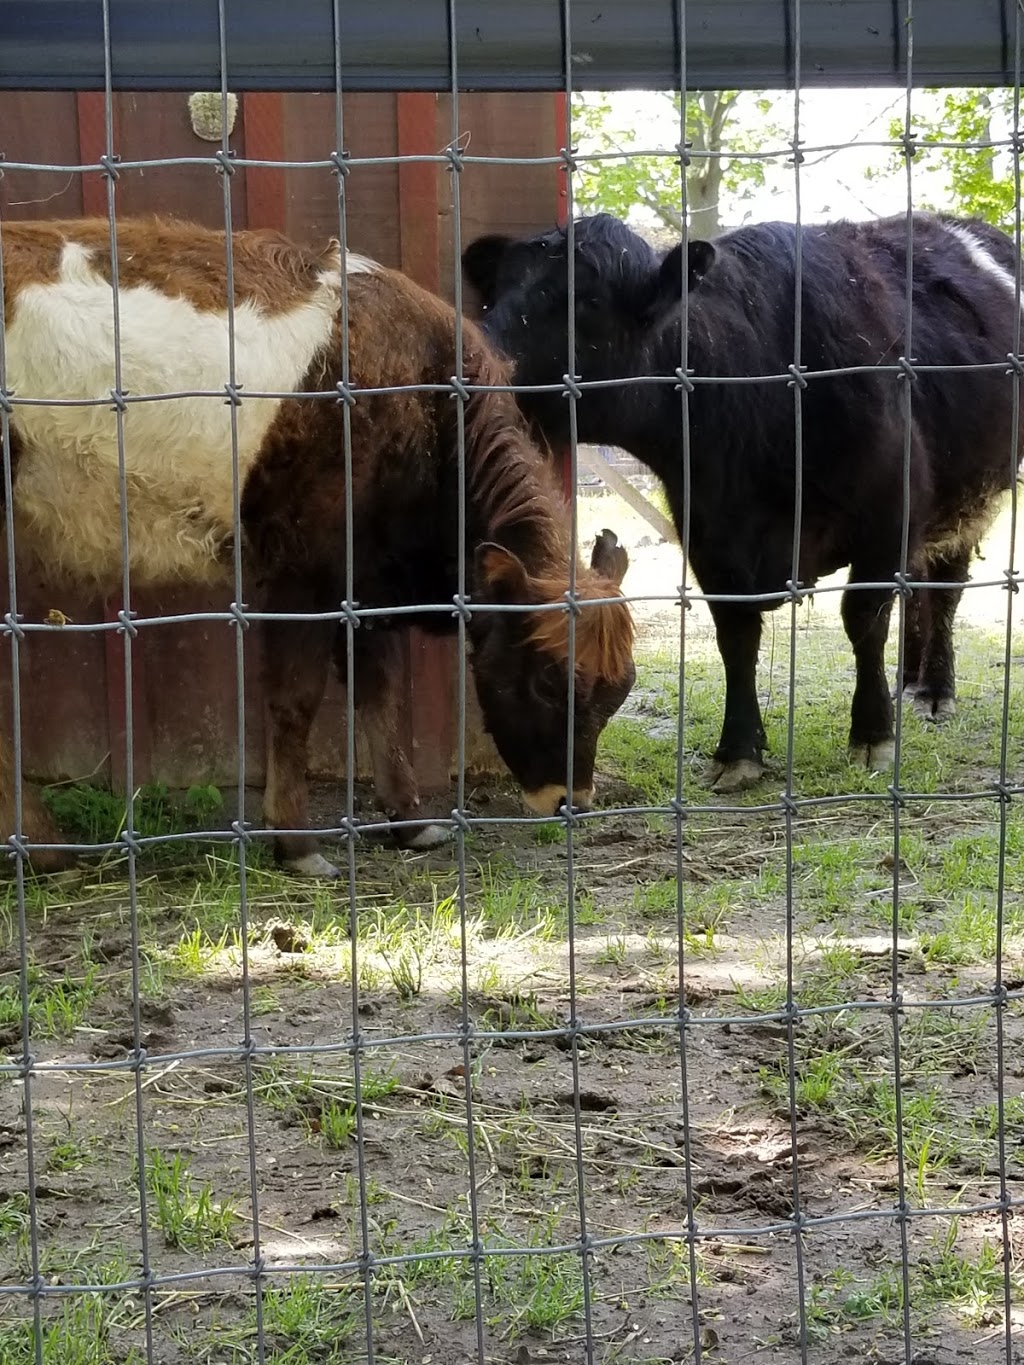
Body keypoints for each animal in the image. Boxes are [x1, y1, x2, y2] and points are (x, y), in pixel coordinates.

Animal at [4, 212, 638, 873]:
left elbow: (380, 693)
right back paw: (44, 848)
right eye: (546, 682)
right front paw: (296, 841)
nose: (570, 802)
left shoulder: (370, 578)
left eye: (619, 694)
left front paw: (410, 821)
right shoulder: (304, 570)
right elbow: (296, 699)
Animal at [466, 210, 1024, 791]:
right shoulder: (707, 529)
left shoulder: (889, 511)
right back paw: (911, 680)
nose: (479, 353)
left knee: (943, 590)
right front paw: (738, 750)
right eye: (495, 295)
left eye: (587, 301)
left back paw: (934, 689)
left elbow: (864, 619)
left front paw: (873, 734)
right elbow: (735, 634)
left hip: (968, 502)